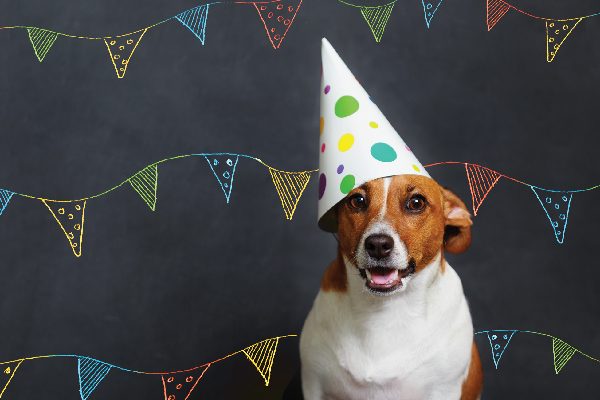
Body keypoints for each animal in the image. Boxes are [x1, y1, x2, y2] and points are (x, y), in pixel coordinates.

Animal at [300, 174, 482, 400]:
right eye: (357, 201)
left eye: (416, 202)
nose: (378, 245)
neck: (384, 309)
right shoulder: (313, 383)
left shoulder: (445, 388)